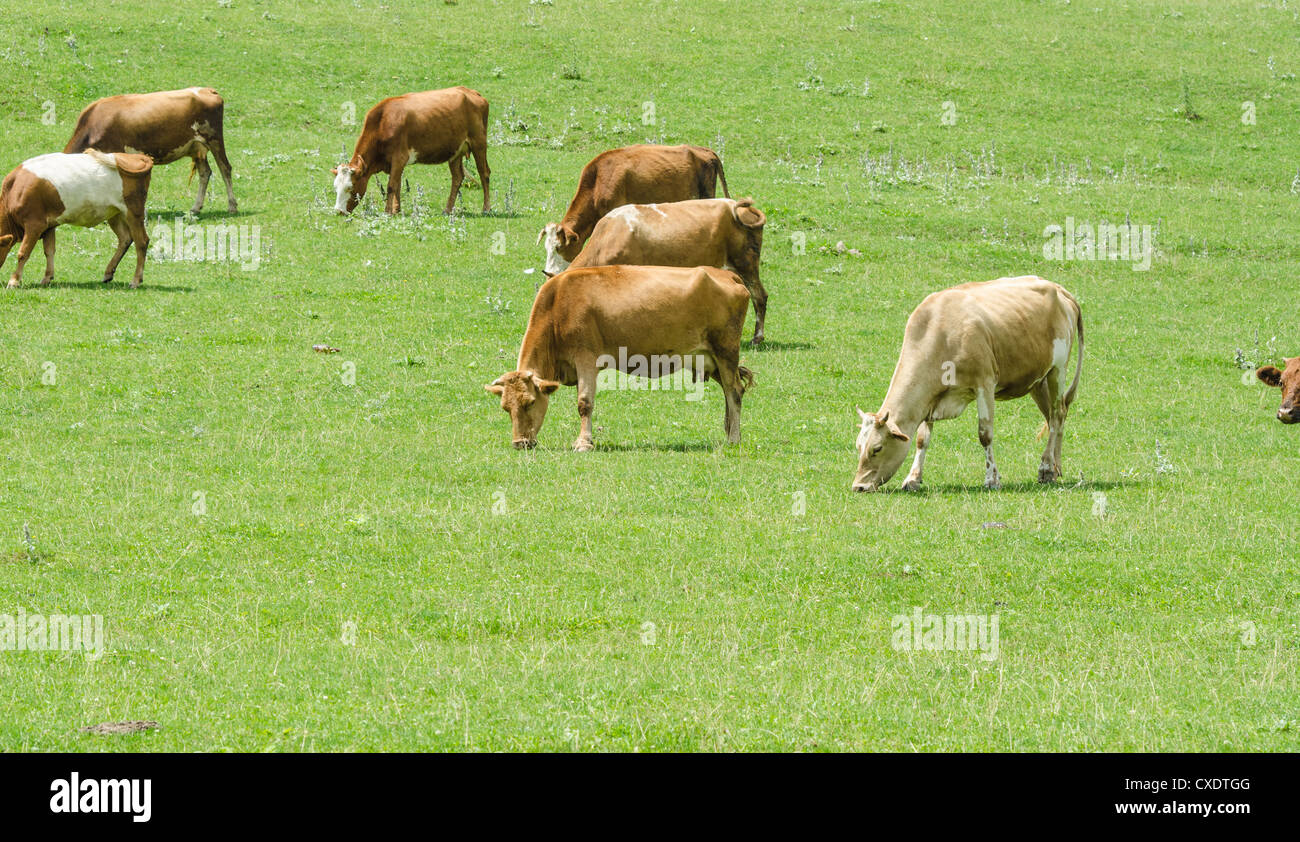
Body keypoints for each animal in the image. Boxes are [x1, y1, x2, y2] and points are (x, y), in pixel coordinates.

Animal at [0, 150, 153, 289]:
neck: (13, 191)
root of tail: (136, 157)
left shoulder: (35, 224)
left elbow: (23, 253)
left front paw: (14, 281)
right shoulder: (49, 225)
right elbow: (49, 251)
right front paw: (47, 278)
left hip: (133, 212)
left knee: (142, 241)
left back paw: (135, 281)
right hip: (115, 214)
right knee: (125, 239)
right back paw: (108, 273)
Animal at [64, 87, 236, 216]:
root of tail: (208, 90)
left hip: (214, 138)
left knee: (225, 168)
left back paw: (232, 206)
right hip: (197, 147)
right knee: (205, 173)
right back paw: (195, 209)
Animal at [332, 87, 490, 216]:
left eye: (350, 187)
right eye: (335, 187)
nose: (339, 211)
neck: (383, 121)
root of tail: (471, 92)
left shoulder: (399, 157)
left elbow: (391, 186)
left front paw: (387, 212)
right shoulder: (394, 163)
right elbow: (397, 185)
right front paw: (396, 210)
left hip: (479, 143)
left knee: (484, 173)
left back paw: (486, 208)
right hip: (456, 150)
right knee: (457, 177)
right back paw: (447, 210)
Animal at [485, 265, 753, 451]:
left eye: (530, 402)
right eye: (505, 407)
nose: (520, 442)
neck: (558, 304)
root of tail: (727, 275)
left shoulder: (586, 358)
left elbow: (584, 403)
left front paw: (583, 443)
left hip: (726, 351)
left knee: (734, 391)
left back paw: (733, 438)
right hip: (709, 359)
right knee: (728, 392)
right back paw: (729, 431)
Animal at [851, 276, 1083, 492]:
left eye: (877, 448)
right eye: (858, 446)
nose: (858, 486)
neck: (941, 333)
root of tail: (1058, 288)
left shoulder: (985, 384)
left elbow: (985, 434)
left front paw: (992, 479)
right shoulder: (930, 399)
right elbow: (921, 439)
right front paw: (913, 478)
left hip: (1058, 370)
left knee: (1056, 414)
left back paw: (1046, 468)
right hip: (1038, 379)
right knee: (1053, 416)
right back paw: (1055, 467)